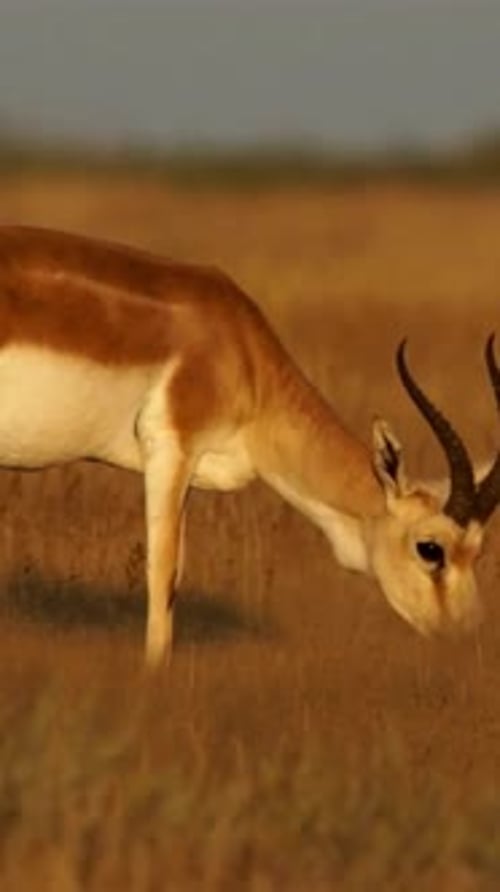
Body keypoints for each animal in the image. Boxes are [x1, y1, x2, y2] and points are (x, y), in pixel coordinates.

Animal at [0, 225, 497, 668]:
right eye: (430, 549)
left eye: (479, 550)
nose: (464, 639)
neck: (242, 354)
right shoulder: (169, 451)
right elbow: (162, 574)